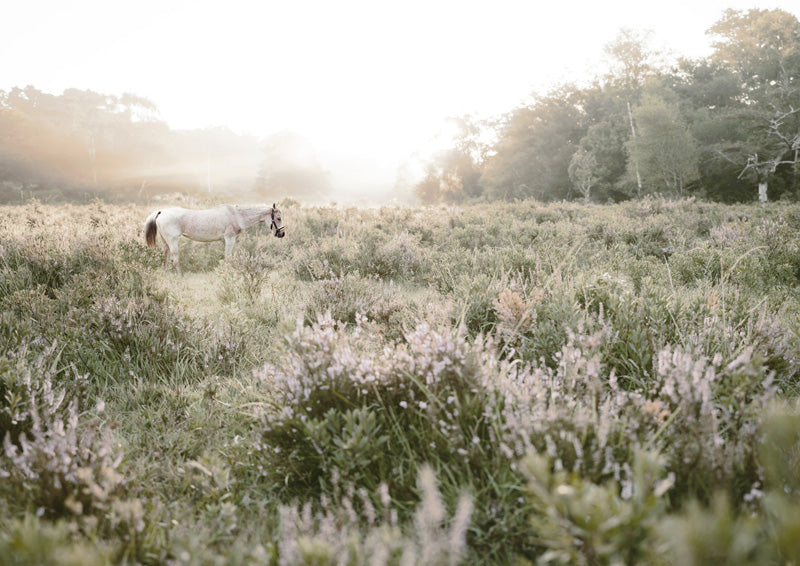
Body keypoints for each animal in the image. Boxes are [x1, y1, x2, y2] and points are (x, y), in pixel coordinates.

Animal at [144, 203, 285, 275]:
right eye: (278, 218)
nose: (282, 234)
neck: (237, 215)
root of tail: (161, 212)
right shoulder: (230, 239)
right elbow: (228, 258)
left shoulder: (224, 241)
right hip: (173, 241)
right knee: (175, 260)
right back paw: (181, 276)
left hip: (165, 242)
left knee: (165, 257)